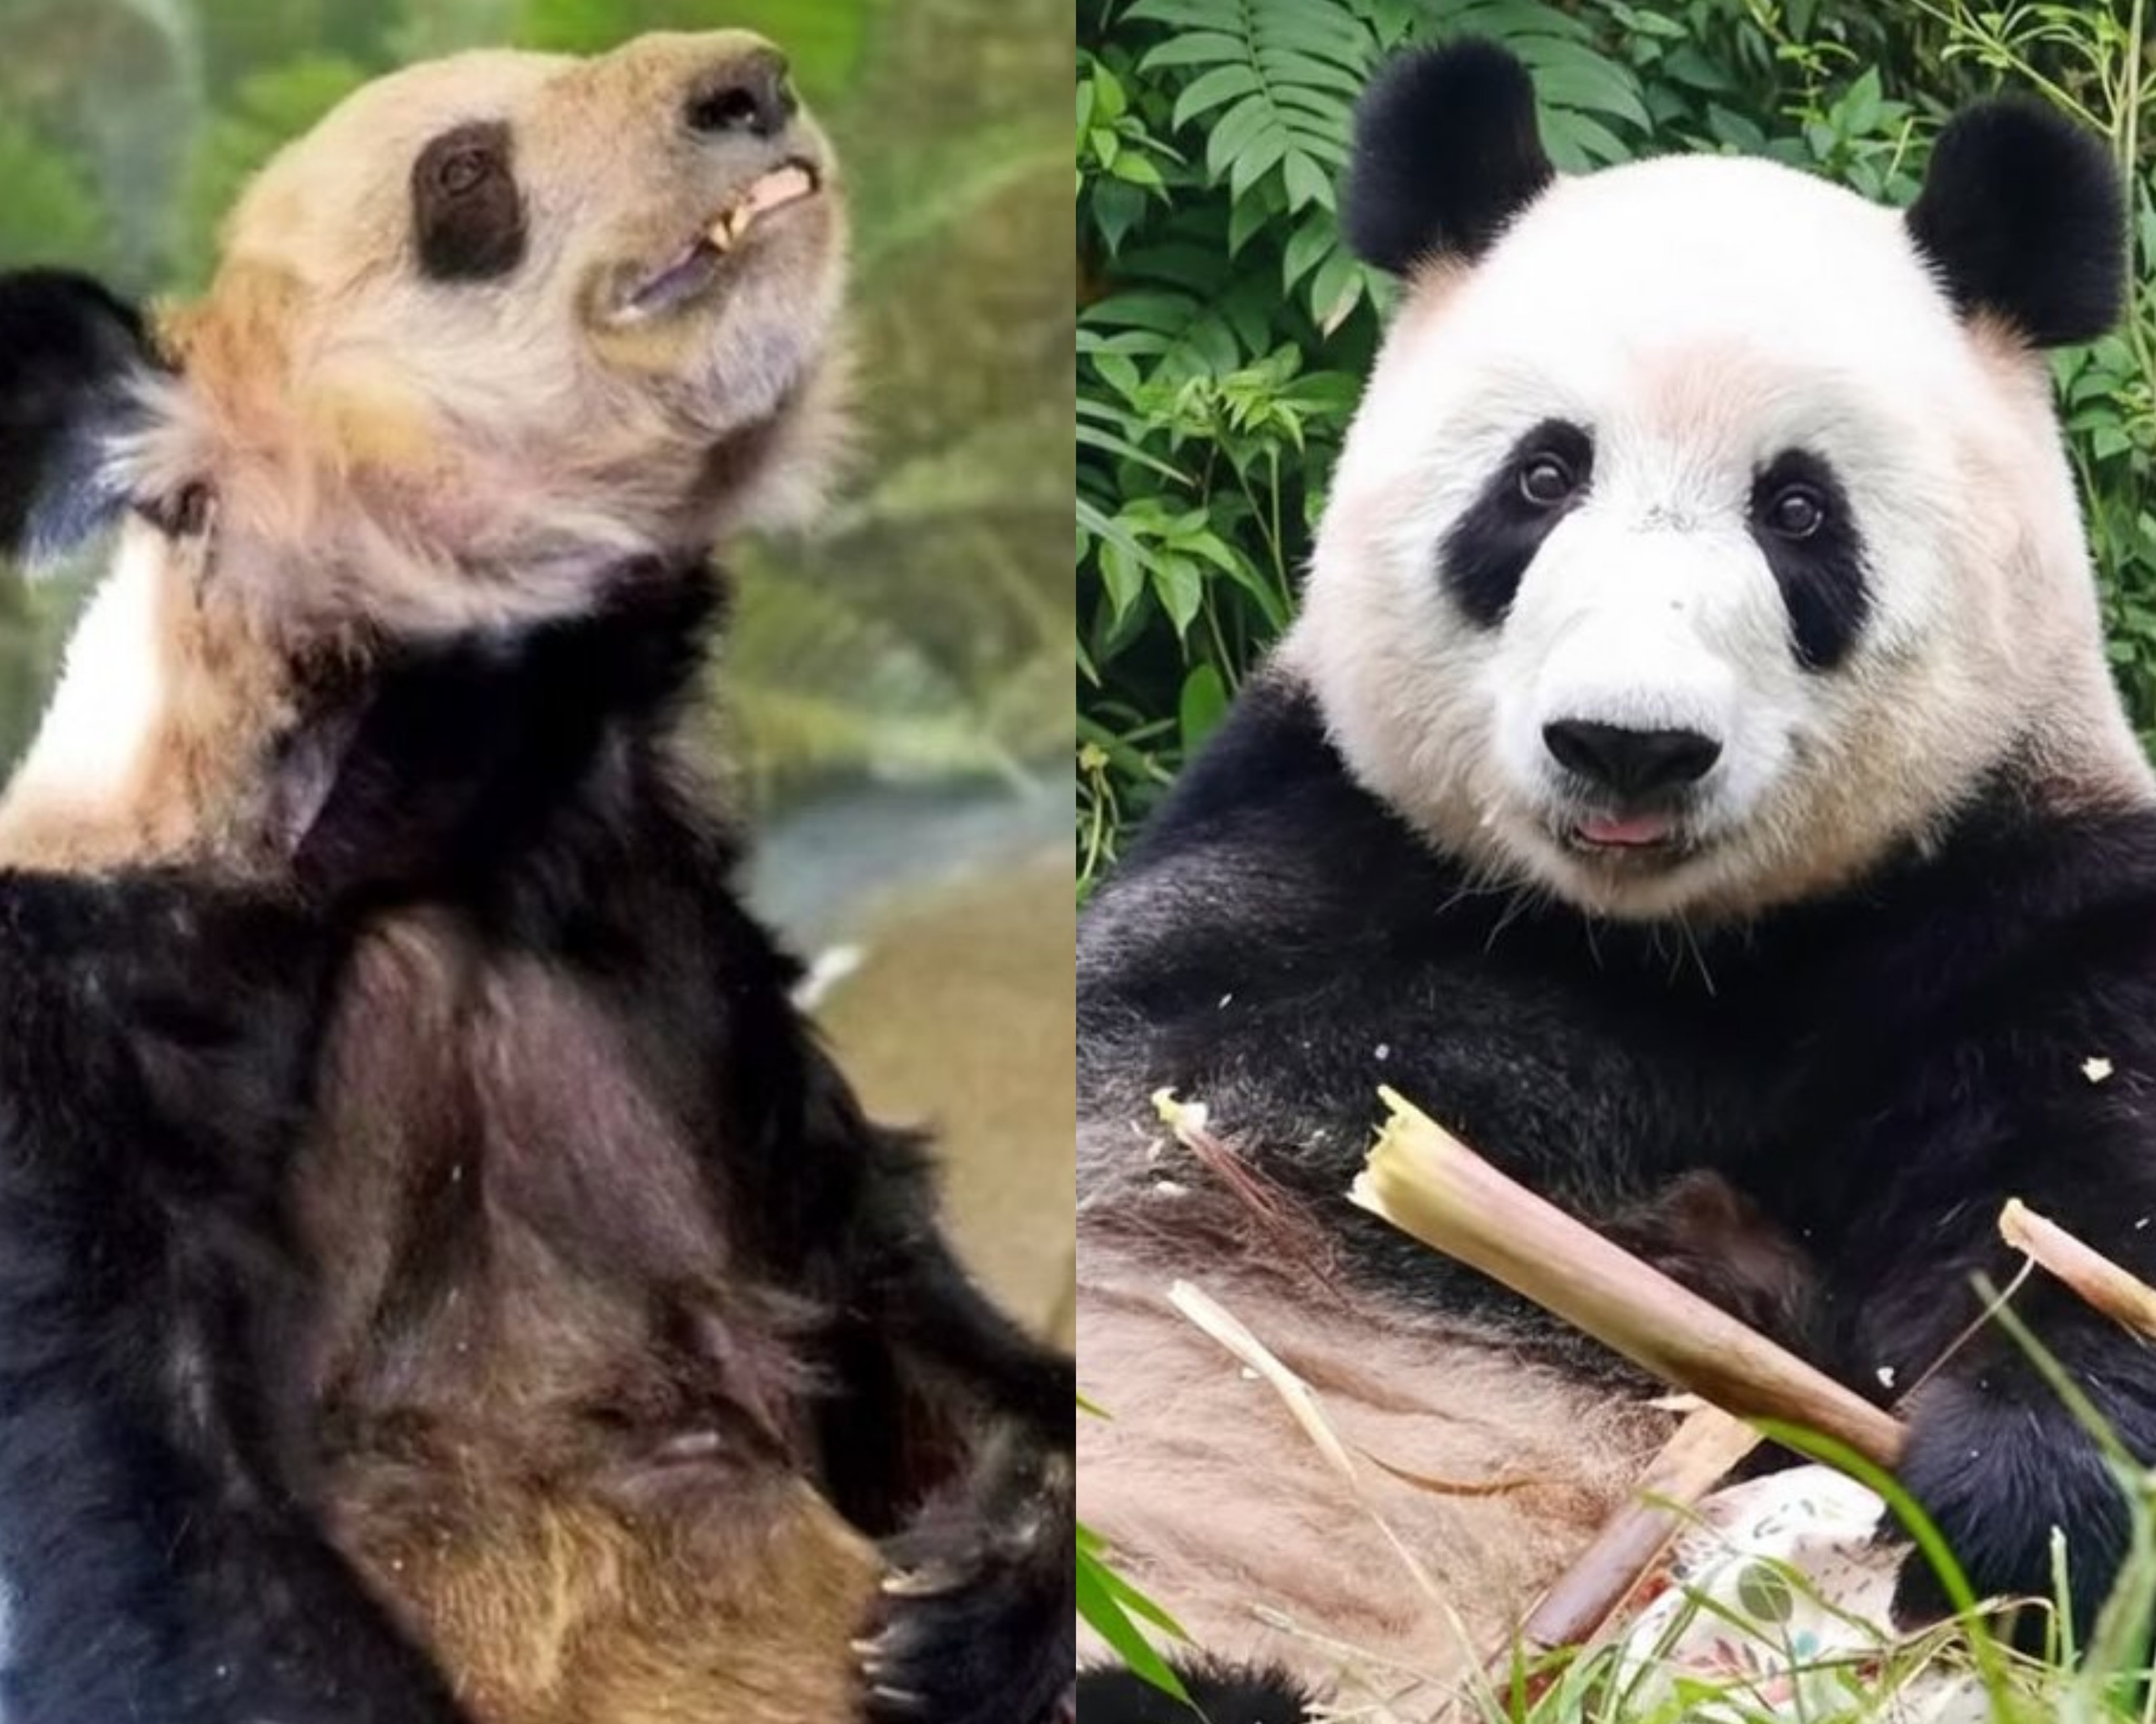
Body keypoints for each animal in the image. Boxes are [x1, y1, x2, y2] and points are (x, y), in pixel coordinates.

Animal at [0, 30, 1071, 1724]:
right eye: (463, 178)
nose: (751, 83)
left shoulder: (684, 973)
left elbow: (910, 1339)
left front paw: (986, 1592)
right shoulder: (86, 1054)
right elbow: (157, 1554)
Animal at [1077, 37, 2156, 1719]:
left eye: (1799, 511)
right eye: (1540, 478)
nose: (1628, 747)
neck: (1664, 946)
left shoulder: (2009, 897)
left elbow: (2087, 1206)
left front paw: (2008, 1499)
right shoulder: (1293, 851)